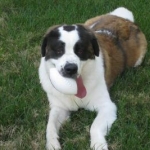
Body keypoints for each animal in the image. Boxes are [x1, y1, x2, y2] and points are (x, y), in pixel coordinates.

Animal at [38, 7, 146, 150]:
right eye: (59, 51)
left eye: (80, 51)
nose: (70, 68)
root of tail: (124, 19)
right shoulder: (59, 107)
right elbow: (50, 126)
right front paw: (52, 144)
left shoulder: (107, 107)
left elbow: (94, 127)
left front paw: (98, 144)